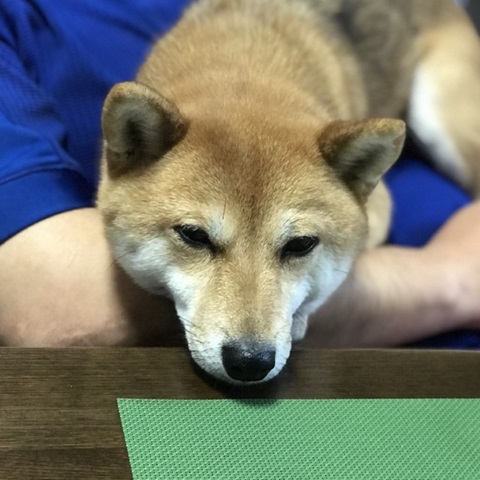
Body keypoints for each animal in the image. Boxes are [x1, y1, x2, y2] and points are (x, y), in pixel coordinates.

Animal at [97, 0, 480, 384]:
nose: (249, 361)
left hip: (439, 119)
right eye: (193, 235)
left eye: (301, 244)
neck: (247, 63)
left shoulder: (381, 207)